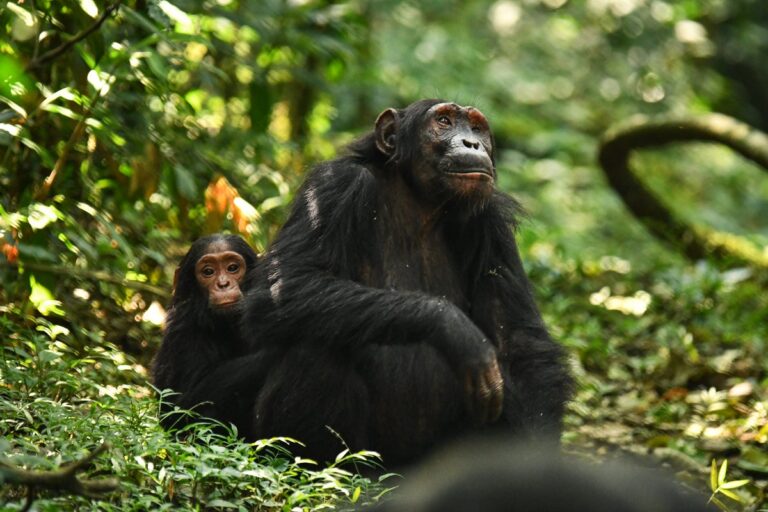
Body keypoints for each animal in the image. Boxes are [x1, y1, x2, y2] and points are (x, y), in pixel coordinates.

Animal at [244, 99, 568, 464]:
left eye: (476, 127)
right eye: (444, 121)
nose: (472, 143)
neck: (419, 202)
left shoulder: (492, 224)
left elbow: (518, 340)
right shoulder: (333, 187)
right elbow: (284, 285)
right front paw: (455, 329)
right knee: (315, 343)